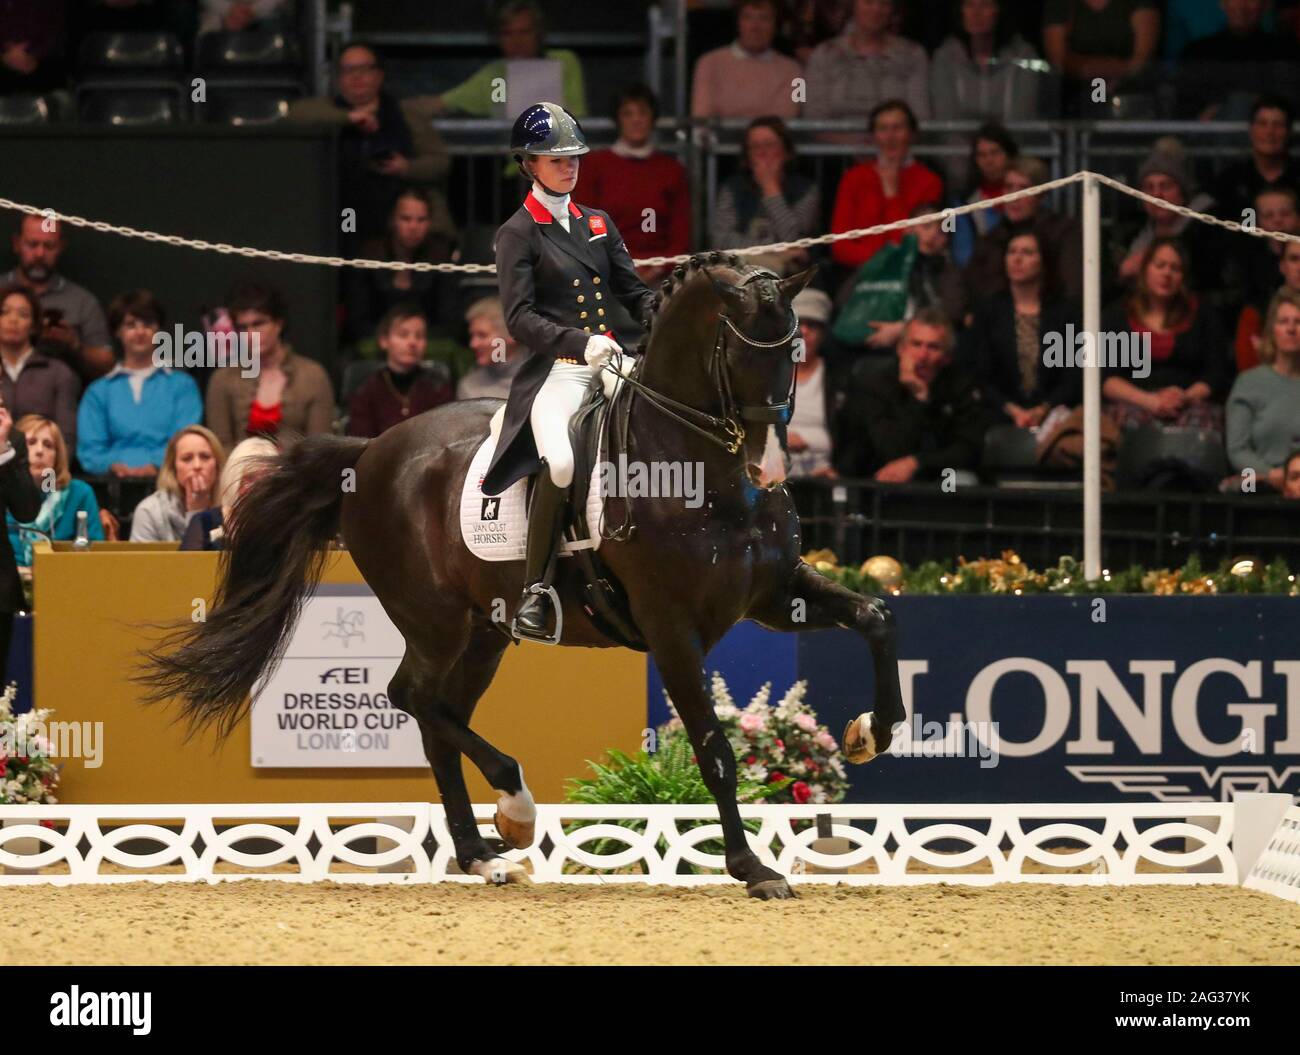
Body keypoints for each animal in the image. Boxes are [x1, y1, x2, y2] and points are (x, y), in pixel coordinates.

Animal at [137, 255, 899, 899]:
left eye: (795, 354)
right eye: (738, 352)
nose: (771, 470)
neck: (700, 468)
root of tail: (371, 448)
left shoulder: (774, 595)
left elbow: (875, 617)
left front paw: (870, 732)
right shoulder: (671, 628)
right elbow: (714, 746)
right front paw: (752, 867)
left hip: (482, 632)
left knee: (437, 716)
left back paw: (482, 853)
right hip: (436, 620)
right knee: (414, 697)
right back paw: (515, 809)